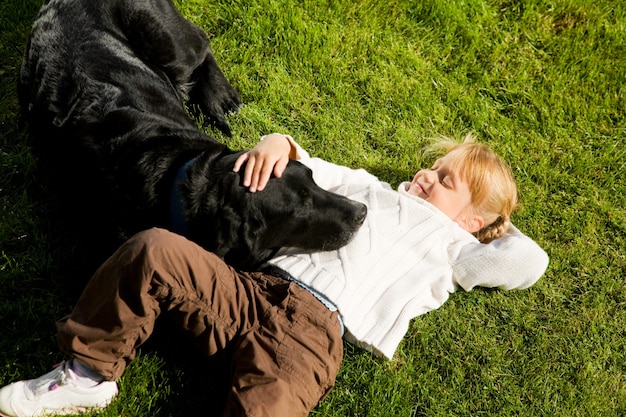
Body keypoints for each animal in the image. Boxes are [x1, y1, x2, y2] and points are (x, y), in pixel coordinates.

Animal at [19, 0, 366, 268]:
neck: (177, 174)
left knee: (201, 48)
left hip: (169, 43)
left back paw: (222, 100)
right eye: (301, 208)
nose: (361, 211)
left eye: (312, 177)